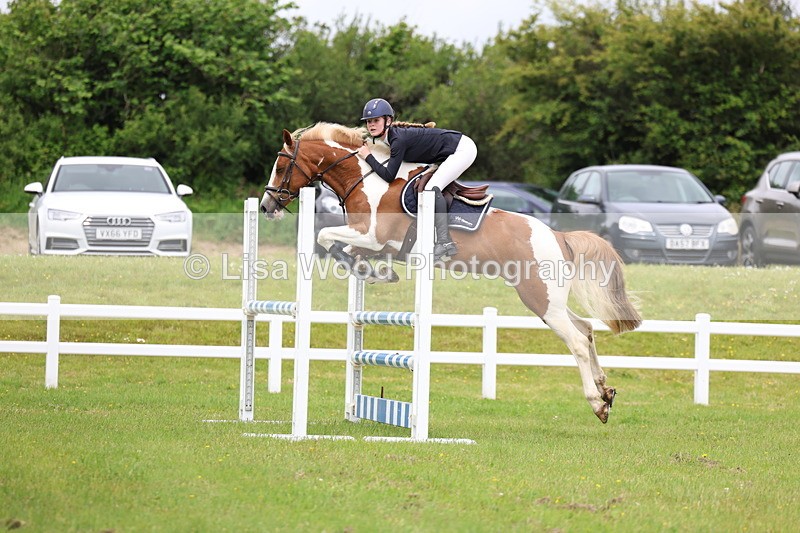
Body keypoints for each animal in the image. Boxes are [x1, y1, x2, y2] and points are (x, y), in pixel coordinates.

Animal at [260, 122, 642, 423]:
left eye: (281, 166)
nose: (265, 206)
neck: (366, 182)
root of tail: (557, 236)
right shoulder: (374, 243)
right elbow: (344, 251)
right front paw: (374, 272)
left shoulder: (372, 235)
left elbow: (324, 236)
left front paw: (375, 273)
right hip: (549, 299)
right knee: (586, 329)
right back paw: (605, 390)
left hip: (540, 297)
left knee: (576, 340)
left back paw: (597, 403)